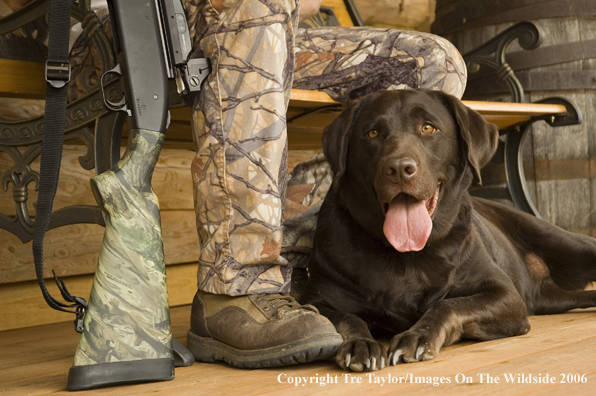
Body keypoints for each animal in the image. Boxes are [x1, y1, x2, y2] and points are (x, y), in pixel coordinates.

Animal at [300, 88, 596, 372]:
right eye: (372, 133)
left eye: (428, 128)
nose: (399, 168)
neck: (406, 255)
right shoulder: (319, 299)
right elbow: (345, 318)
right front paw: (360, 344)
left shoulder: (505, 293)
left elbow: (449, 304)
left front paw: (418, 336)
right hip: (550, 297)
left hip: (564, 242)